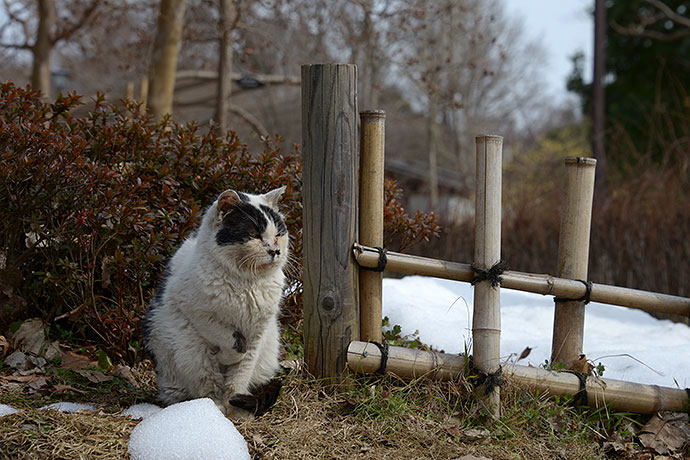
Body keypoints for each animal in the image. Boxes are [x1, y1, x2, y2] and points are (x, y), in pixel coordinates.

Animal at [142, 185, 288, 418]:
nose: (275, 251)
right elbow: (231, 339)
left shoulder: (259, 331)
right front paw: (228, 357)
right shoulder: (196, 314)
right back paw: (212, 409)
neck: (247, 284)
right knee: (205, 384)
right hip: (188, 350)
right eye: (254, 235)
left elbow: (239, 376)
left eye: (279, 234)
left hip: (269, 348)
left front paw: (236, 411)